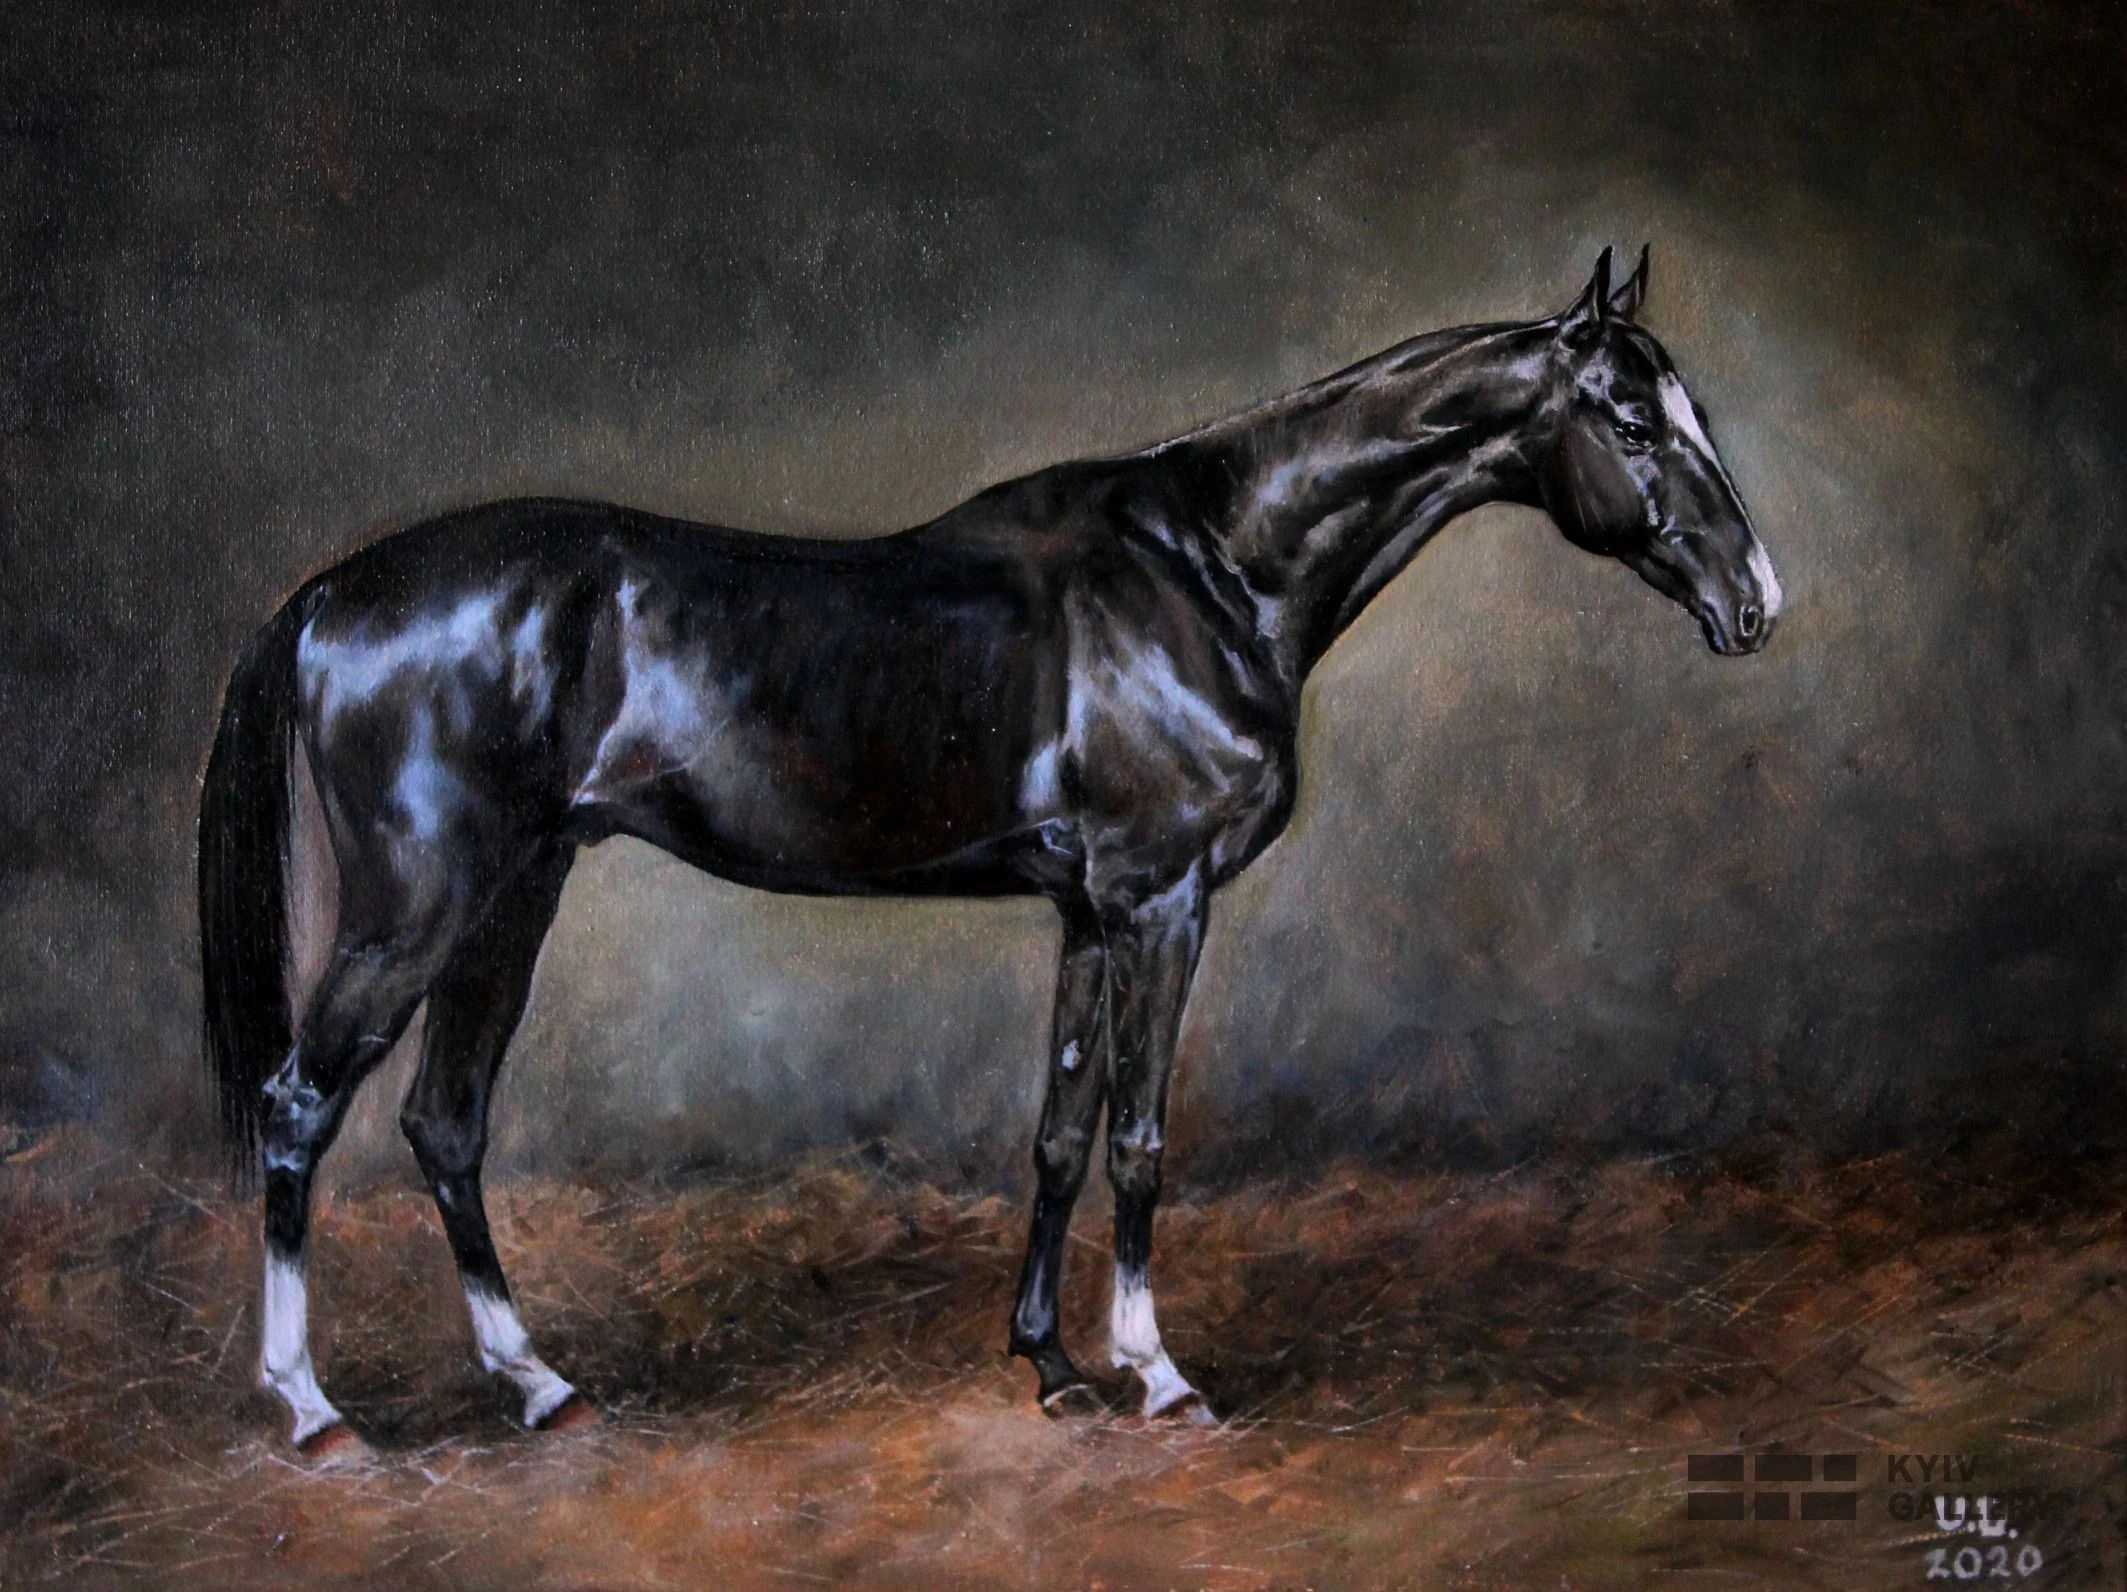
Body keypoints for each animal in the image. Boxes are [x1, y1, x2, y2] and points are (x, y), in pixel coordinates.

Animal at [199, 246, 1781, 1456]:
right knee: (298, 1109)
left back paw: (538, 1384)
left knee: (443, 1122)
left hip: (512, 901)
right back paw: (312, 1408)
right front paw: (1157, 1371)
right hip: (418, 912)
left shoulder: (1087, 912)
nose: (1757, 600)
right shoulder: (1160, 902)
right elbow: (1139, 1138)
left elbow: (1058, 1134)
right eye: (1629, 422)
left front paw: (1052, 1363)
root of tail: (330, 593)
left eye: (1692, 407)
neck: (1207, 571)